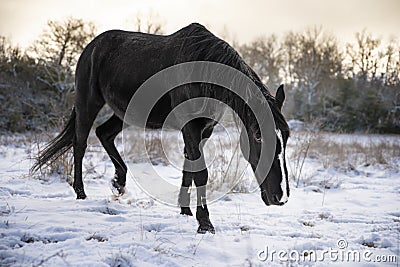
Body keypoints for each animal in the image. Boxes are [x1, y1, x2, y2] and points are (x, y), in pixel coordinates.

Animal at [30, 24, 288, 236]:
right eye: (258, 136)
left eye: (286, 136)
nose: (280, 197)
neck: (203, 70)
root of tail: (91, 47)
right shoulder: (190, 128)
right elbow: (200, 173)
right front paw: (205, 224)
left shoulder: (203, 131)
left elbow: (189, 167)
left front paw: (185, 211)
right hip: (88, 102)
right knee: (81, 143)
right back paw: (81, 193)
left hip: (124, 112)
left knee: (104, 133)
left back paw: (119, 182)